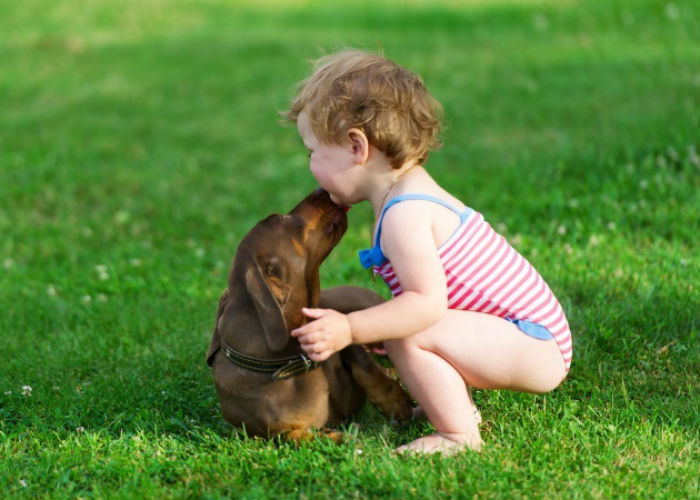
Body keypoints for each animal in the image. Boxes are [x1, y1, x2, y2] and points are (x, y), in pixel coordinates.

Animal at [206, 188, 416, 442]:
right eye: (281, 219)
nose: (321, 189)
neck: (288, 360)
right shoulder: (275, 433)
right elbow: (301, 436)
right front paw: (347, 437)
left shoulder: (342, 337)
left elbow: (366, 367)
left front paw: (397, 402)